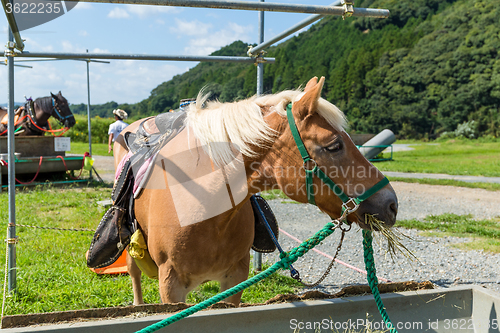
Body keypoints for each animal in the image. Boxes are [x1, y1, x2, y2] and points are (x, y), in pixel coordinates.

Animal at [113, 76, 398, 304]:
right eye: (334, 145)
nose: (391, 204)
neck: (204, 205)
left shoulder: (235, 279)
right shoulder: (171, 285)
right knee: (134, 273)